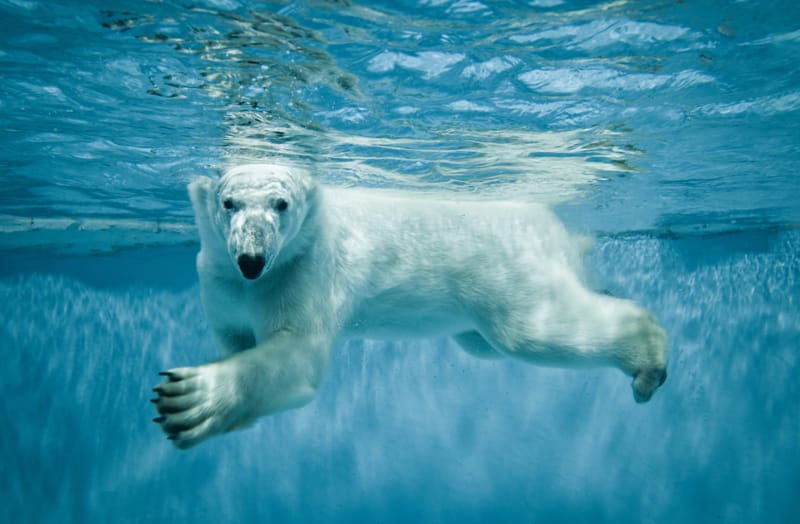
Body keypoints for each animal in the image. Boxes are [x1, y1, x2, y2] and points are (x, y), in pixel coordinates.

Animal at [152, 163, 668, 449]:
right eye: (228, 202)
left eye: (281, 203)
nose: (252, 260)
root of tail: (552, 226)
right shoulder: (218, 281)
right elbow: (235, 338)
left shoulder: (305, 269)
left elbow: (297, 354)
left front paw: (189, 399)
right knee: (485, 342)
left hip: (503, 269)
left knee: (530, 332)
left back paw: (648, 358)